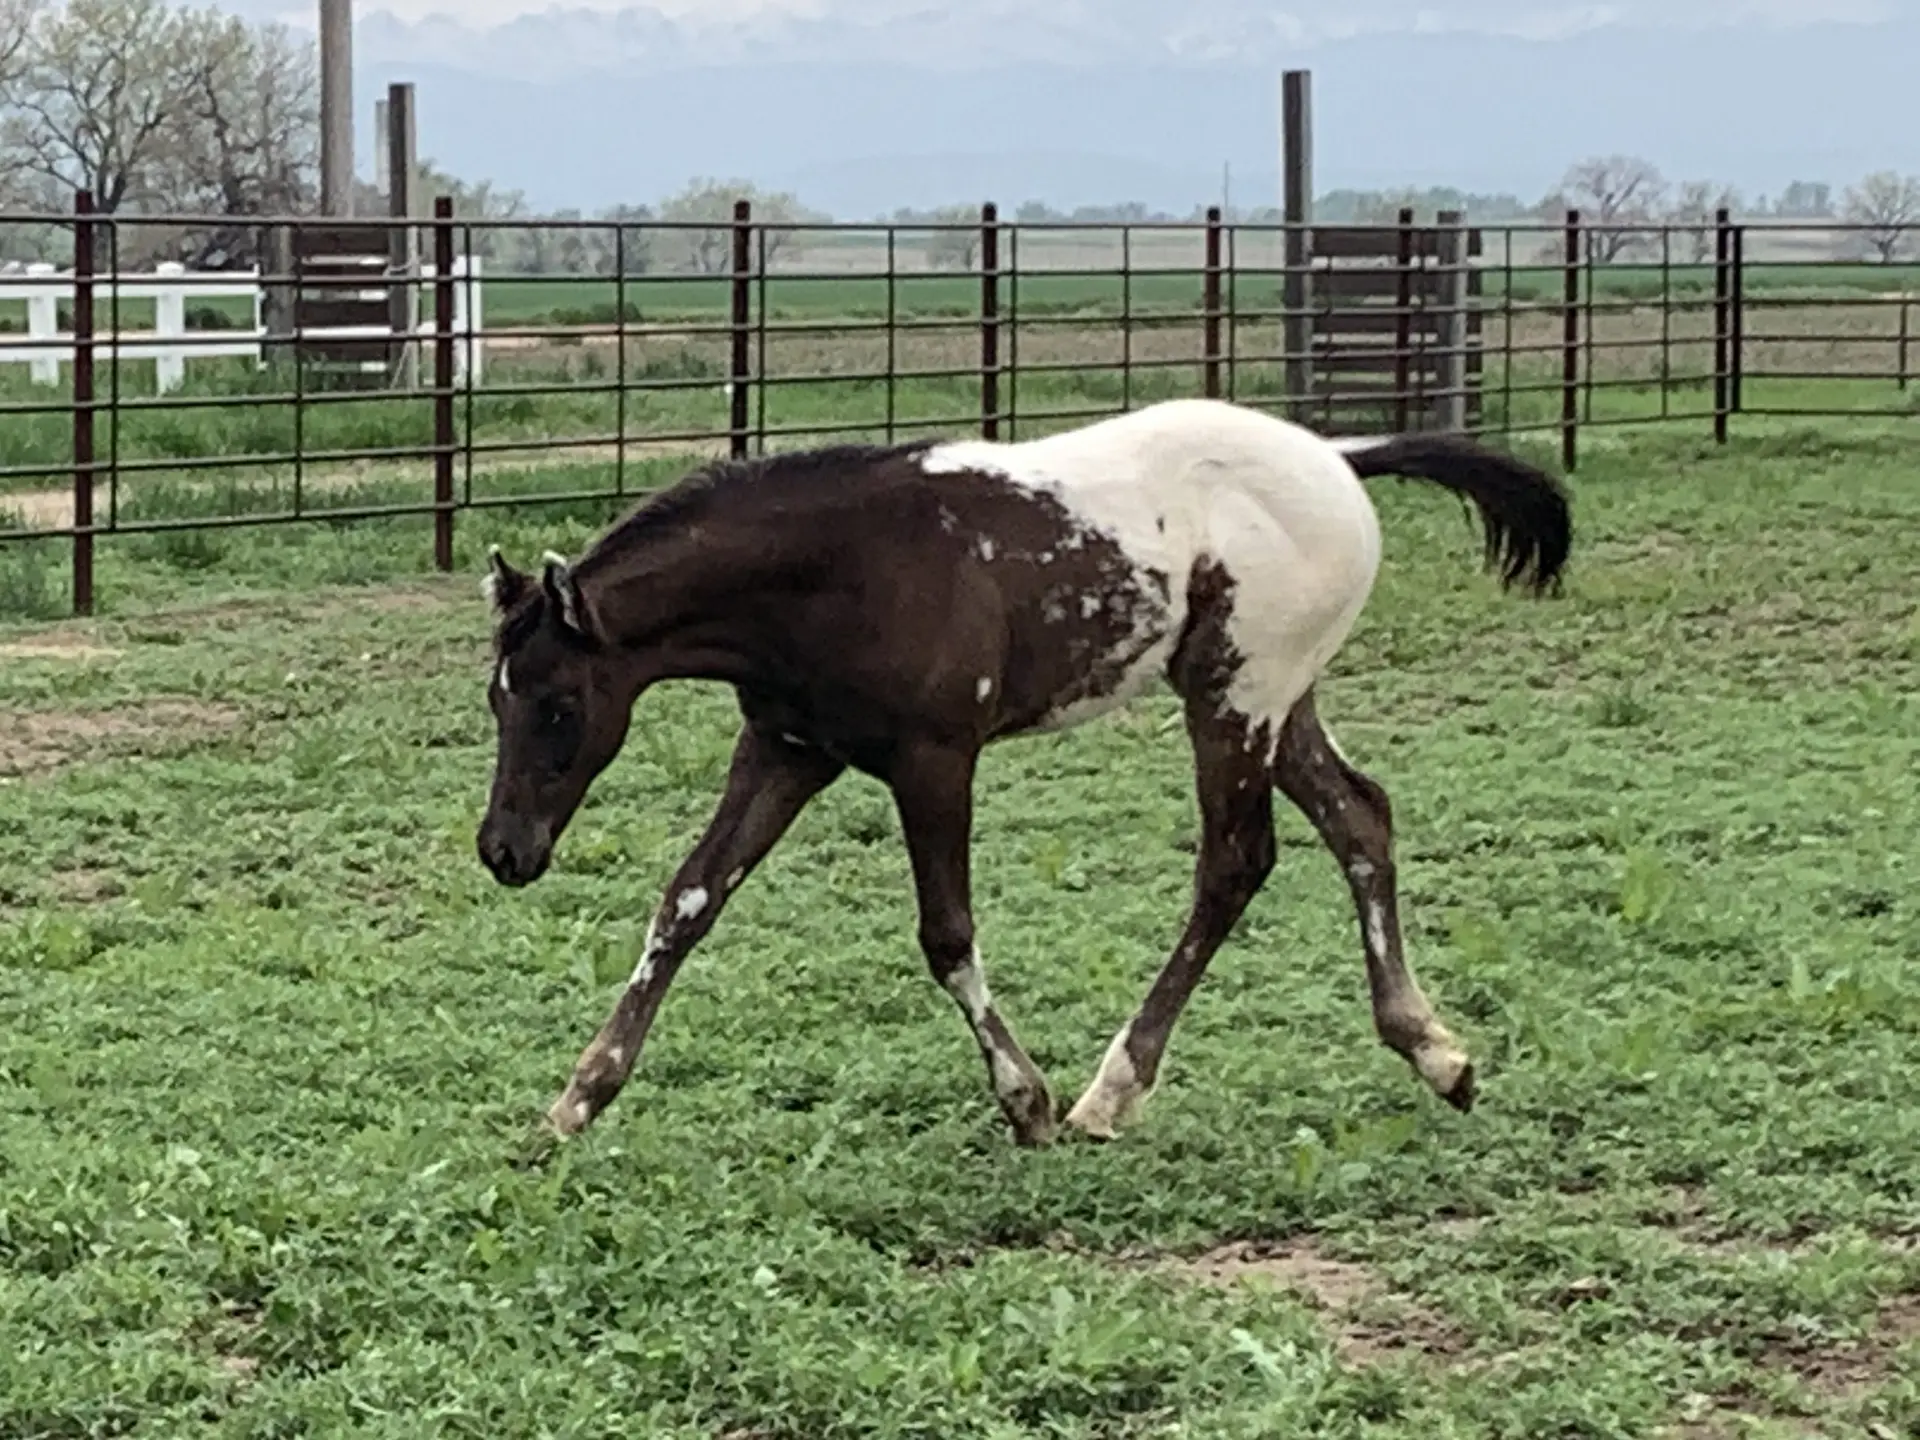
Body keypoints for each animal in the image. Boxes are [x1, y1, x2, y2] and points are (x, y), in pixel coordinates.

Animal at [476, 398, 1571, 1148]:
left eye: (559, 704)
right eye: (495, 698)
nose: (503, 852)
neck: (839, 568)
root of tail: (1339, 458)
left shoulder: (934, 759)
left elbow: (946, 936)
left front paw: (1027, 1100)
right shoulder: (788, 750)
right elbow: (688, 902)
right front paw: (575, 1099)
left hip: (1236, 698)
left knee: (1235, 861)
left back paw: (1109, 1093)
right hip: (1274, 698)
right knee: (1359, 818)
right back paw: (1437, 1055)